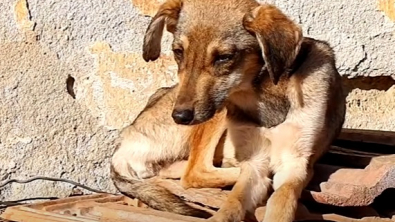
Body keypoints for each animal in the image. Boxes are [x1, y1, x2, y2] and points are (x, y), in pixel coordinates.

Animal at [140, 0, 346, 222]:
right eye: (179, 52)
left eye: (224, 57)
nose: (179, 116)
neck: (263, 97)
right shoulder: (255, 162)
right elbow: (233, 202)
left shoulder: (295, 163)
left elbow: (281, 200)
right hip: (217, 115)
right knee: (192, 172)